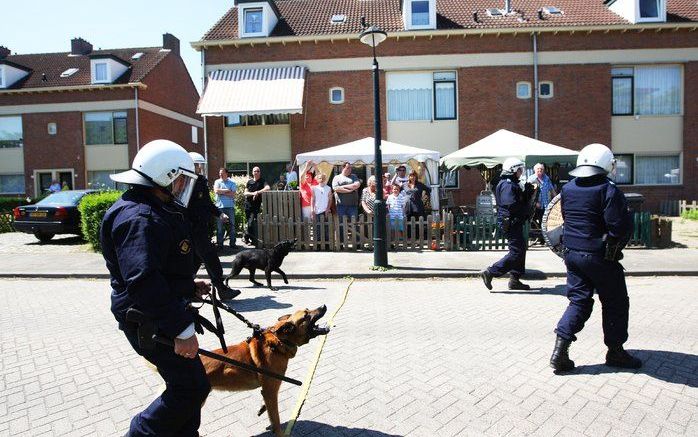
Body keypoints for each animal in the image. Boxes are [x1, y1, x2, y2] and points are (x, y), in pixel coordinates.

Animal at [200, 304, 328, 434]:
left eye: (307, 310)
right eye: (306, 315)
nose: (324, 306)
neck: (279, 341)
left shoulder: (269, 390)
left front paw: (262, 408)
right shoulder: (271, 391)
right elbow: (275, 419)